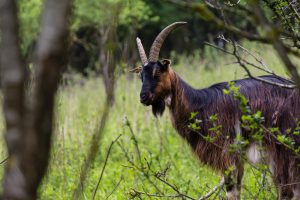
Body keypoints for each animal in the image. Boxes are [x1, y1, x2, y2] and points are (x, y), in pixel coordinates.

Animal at [134, 22, 300, 200]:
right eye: (141, 76)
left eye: (157, 72)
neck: (200, 104)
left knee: (287, 188)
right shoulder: (237, 158)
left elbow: (231, 190)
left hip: (283, 147)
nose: (143, 97)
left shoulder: (227, 152)